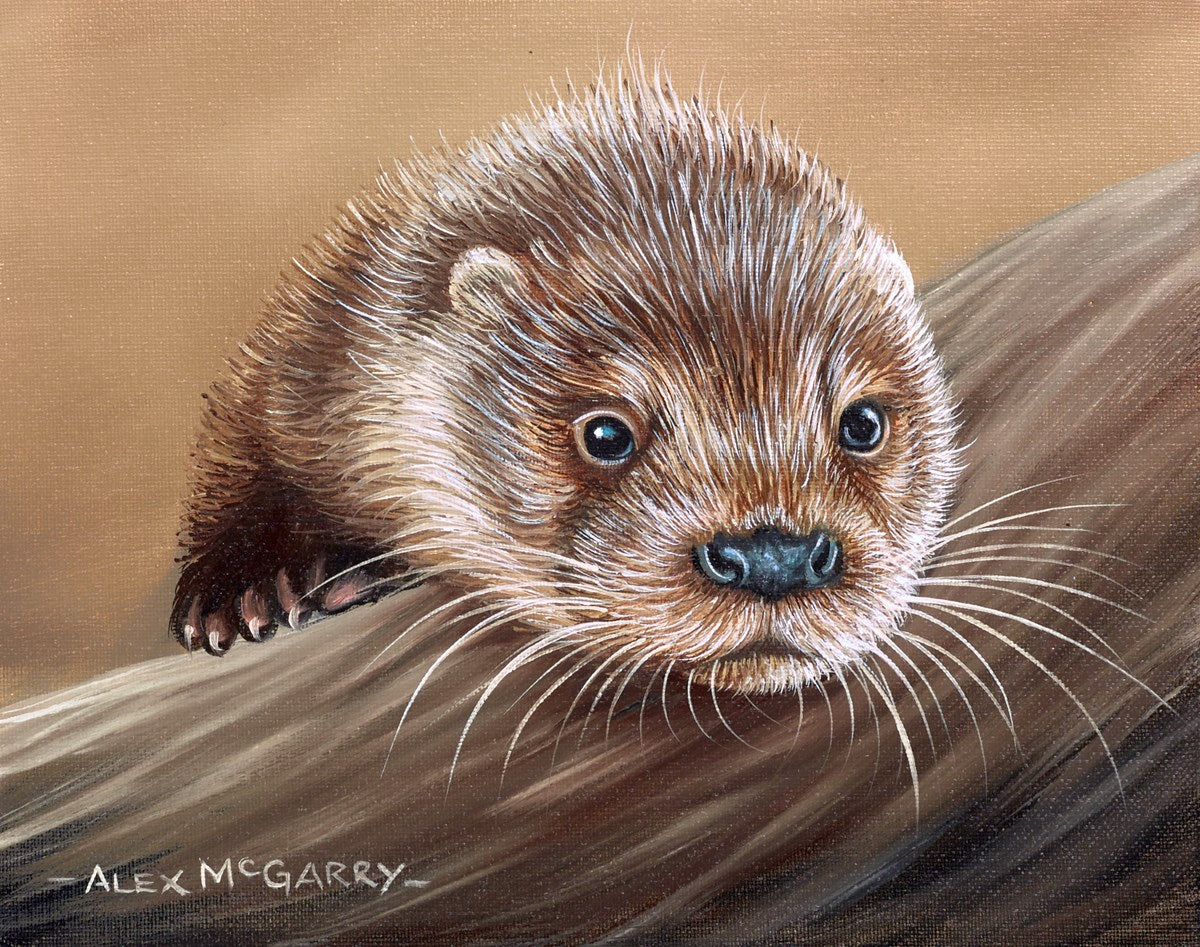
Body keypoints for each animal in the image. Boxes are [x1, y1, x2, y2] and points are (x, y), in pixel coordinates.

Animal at [172, 67, 959, 699]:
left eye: (862, 422)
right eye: (606, 433)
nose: (776, 557)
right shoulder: (313, 338)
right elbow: (242, 450)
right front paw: (241, 589)